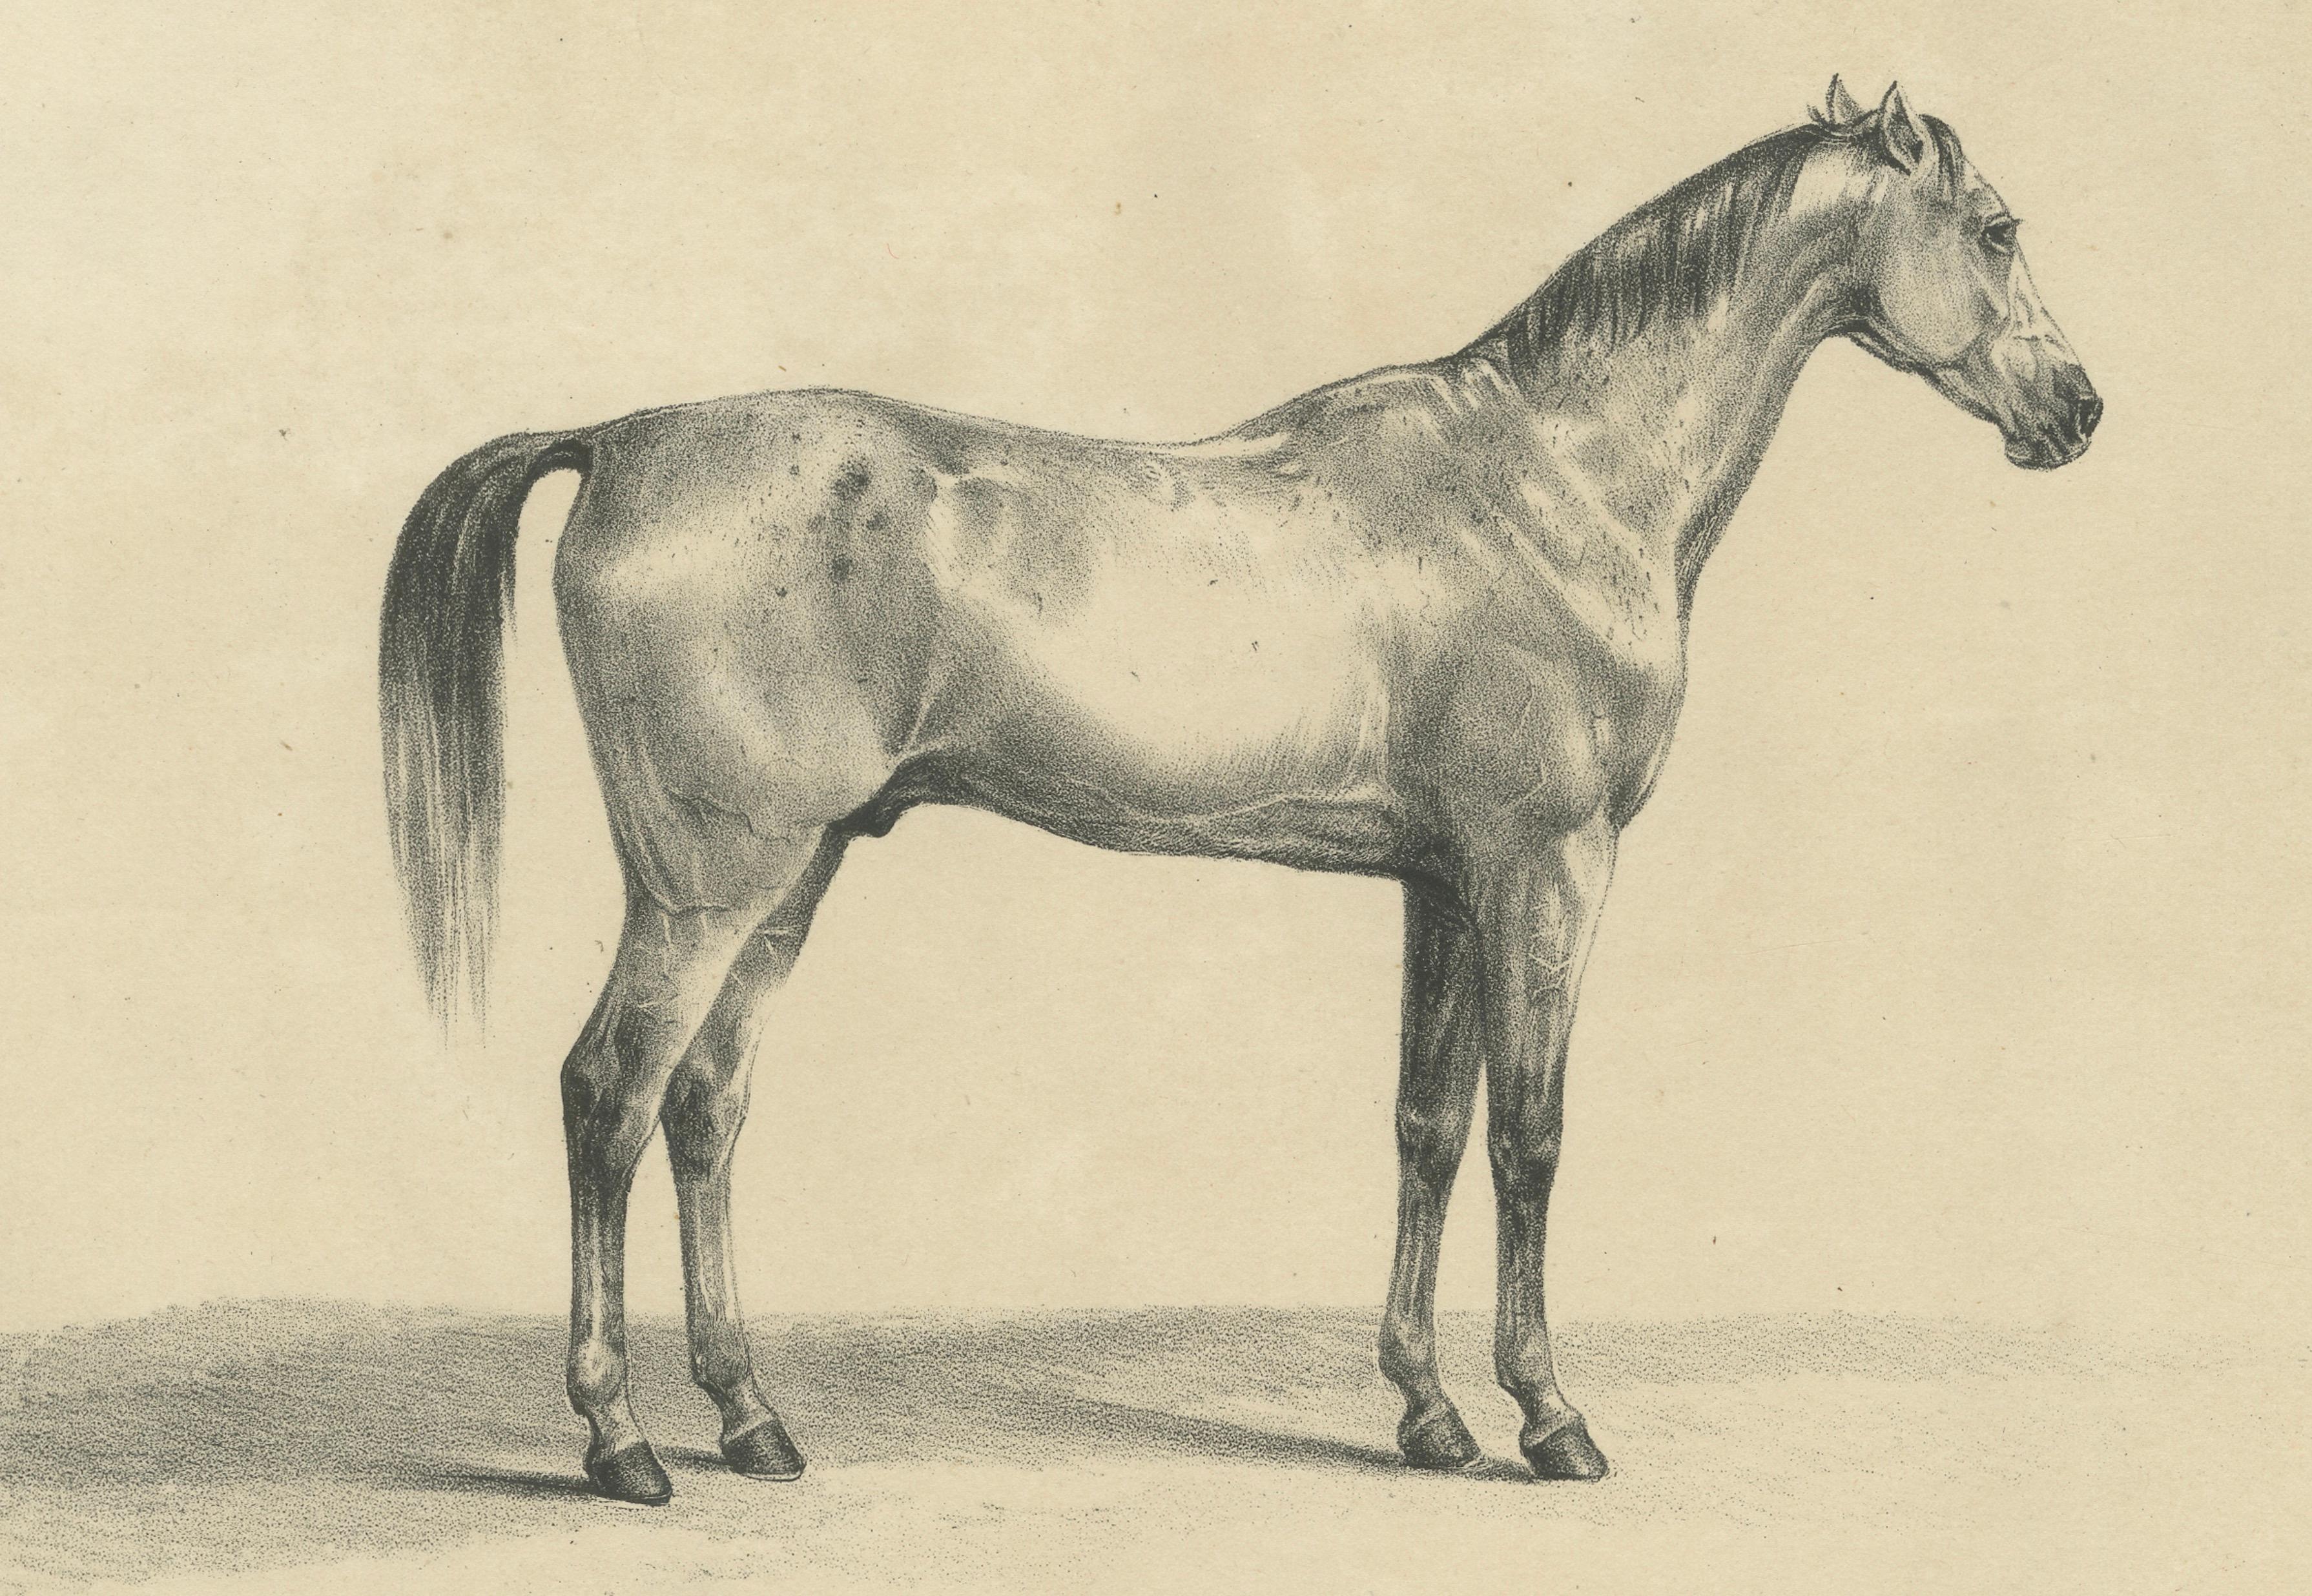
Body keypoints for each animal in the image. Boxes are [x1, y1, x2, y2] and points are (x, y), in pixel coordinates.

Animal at [379, 79, 2098, 1504]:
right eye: (1996, 227)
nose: (2076, 410)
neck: (1552, 480)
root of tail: (620, 441)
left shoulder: (1445, 883)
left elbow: (1426, 1125)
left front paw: (1426, 1413)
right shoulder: (1547, 867)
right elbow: (1530, 1135)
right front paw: (1549, 1419)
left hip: (792, 874)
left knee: (704, 1108)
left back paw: (750, 1423)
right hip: (710, 883)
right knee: (607, 1094)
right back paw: (617, 1444)